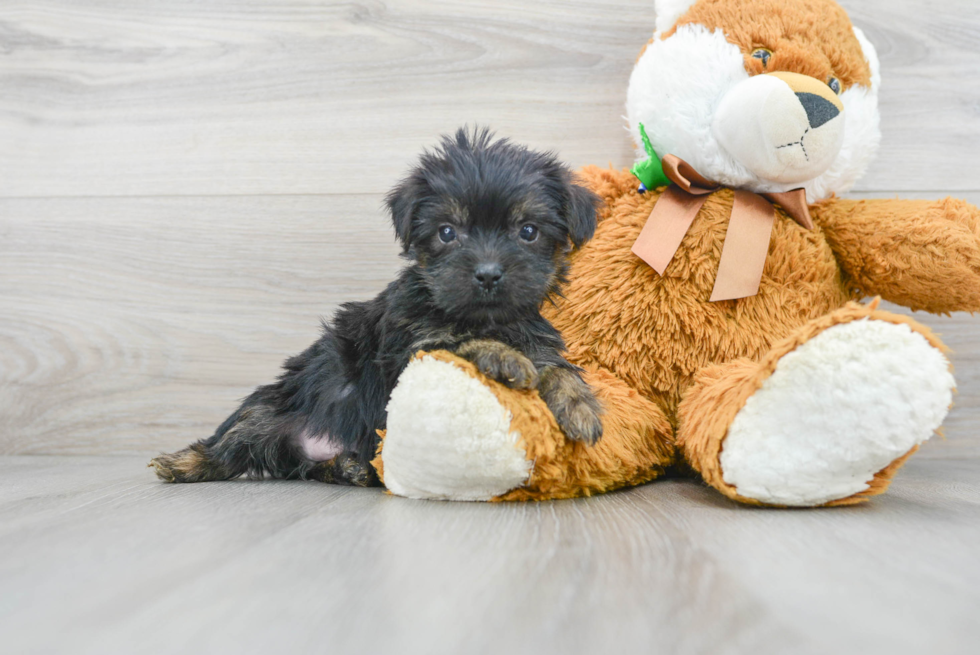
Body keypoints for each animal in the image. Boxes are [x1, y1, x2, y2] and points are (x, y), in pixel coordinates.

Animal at [150, 128, 600, 486]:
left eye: (528, 231)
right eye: (447, 233)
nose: (488, 274)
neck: (483, 318)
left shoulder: (535, 337)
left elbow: (558, 367)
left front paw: (580, 406)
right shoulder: (409, 349)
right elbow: (458, 342)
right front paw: (502, 357)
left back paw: (349, 468)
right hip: (271, 407)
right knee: (231, 442)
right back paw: (181, 463)